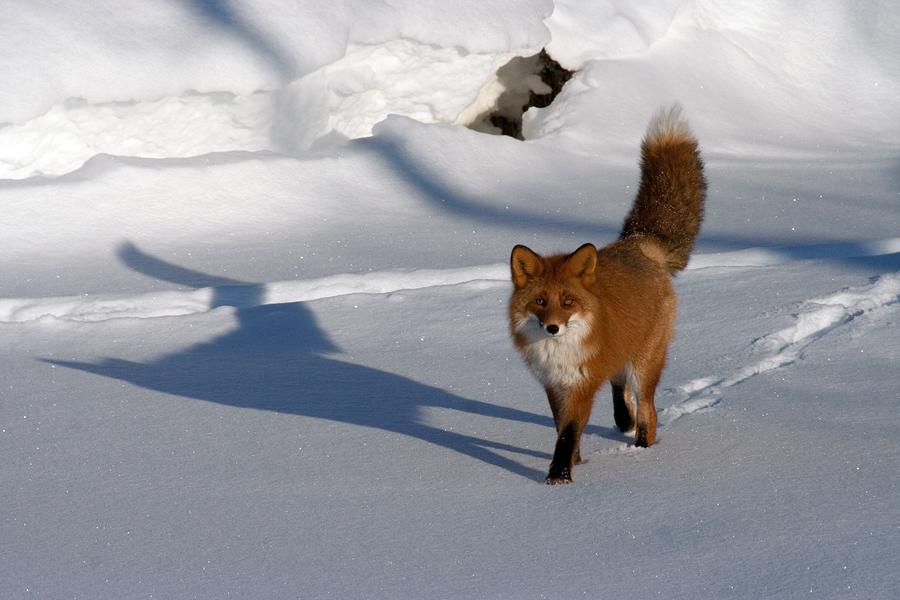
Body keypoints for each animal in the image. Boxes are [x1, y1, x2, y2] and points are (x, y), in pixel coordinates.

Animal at [510, 105, 708, 486]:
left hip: (646, 363)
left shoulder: (581, 386)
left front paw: (559, 478)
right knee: (621, 388)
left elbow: (568, 433)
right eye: (540, 302)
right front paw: (575, 462)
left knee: (649, 412)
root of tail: (637, 242)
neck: (559, 353)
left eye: (568, 302)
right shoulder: (554, 387)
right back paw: (624, 421)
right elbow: (562, 429)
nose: (552, 328)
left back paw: (643, 450)